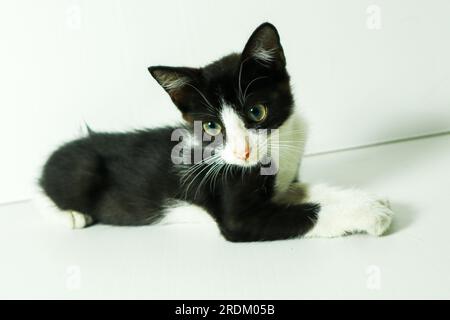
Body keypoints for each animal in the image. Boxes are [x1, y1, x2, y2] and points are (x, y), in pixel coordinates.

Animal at [37, 22, 392, 241]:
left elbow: (303, 190)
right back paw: (70, 215)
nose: (243, 152)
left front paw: (365, 198)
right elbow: (304, 214)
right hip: (79, 171)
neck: (277, 150)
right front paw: (366, 213)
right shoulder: (236, 214)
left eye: (256, 112)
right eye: (210, 126)